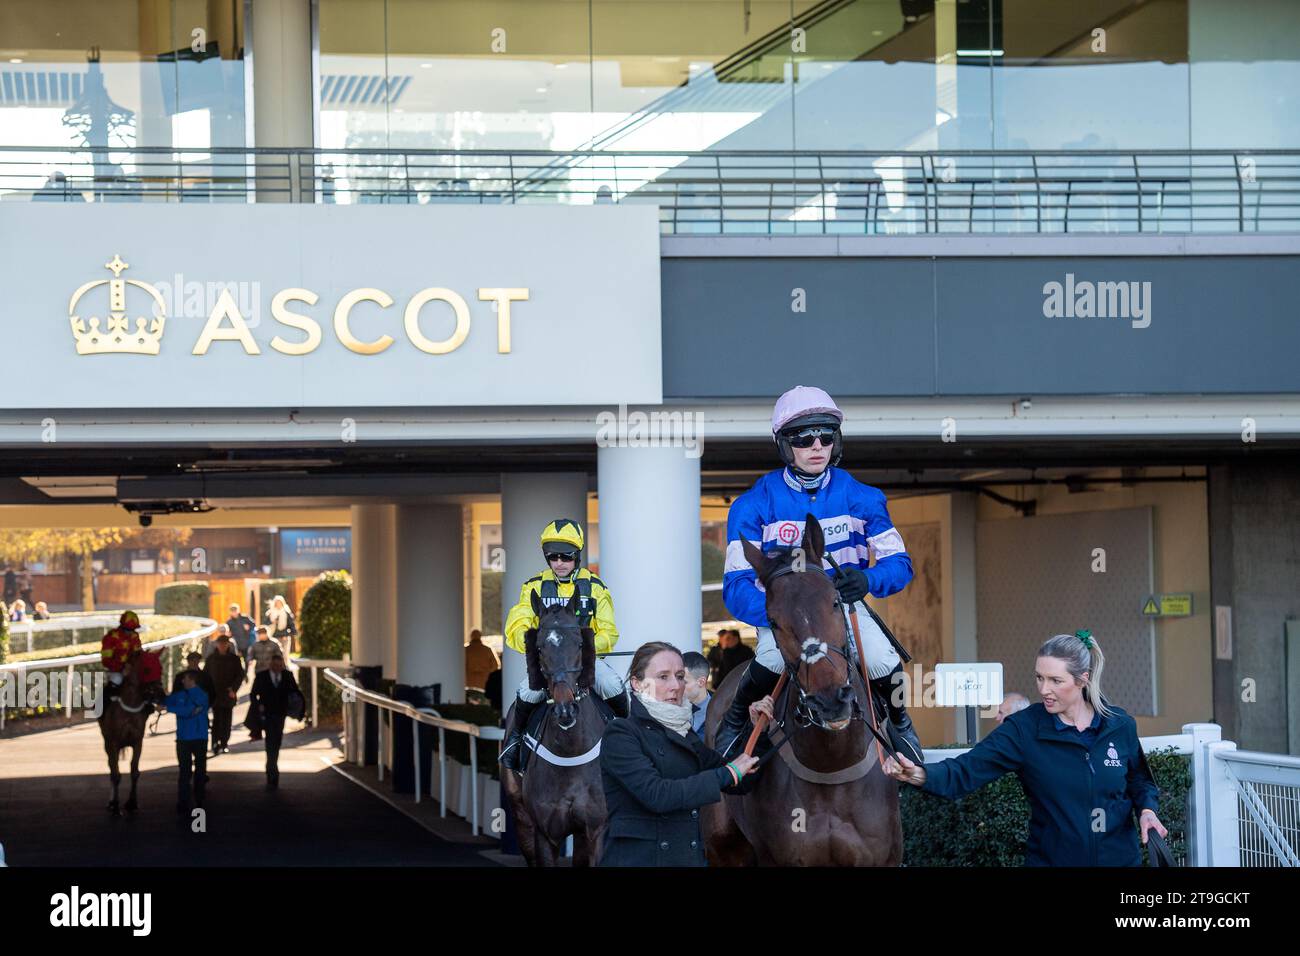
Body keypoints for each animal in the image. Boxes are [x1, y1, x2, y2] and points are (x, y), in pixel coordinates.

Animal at [98, 650, 165, 816]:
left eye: (160, 668)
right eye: (147, 669)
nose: (162, 696)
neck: (129, 707)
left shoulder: (137, 742)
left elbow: (135, 771)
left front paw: (132, 803)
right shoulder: (113, 743)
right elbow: (115, 774)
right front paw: (115, 805)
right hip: (107, 743)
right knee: (111, 767)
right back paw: (111, 802)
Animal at [504, 590, 611, 868]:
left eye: (580, 644)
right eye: (540, 648)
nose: (565, 709)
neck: (571, 755)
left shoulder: (596, 830)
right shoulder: (545, 833)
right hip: (521, 817)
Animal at [702, 515, 904, 868]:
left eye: (835, 601)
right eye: (773, 620)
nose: (829, 701)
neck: (830, 764)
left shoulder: (885, 859)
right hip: (722, 848)